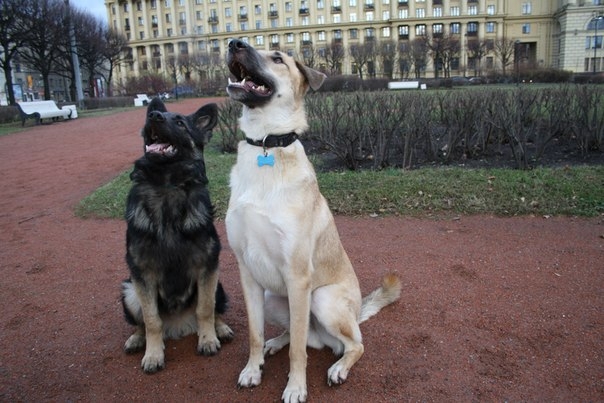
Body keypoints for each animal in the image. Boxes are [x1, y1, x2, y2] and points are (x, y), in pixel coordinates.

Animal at [121, 97, 232, 372]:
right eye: (150, 117)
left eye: (180, 123)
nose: (154, 116)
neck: (167, 184)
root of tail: (180, 326)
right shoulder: (141, 274)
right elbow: (151, 320)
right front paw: (153, 354)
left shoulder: (207, 266)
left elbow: (205, 309)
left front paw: (208, 340)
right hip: (129, 291)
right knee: (141, 322)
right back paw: (137, 339)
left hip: (217, 284)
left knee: (215, 310)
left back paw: (221, 328)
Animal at [224, 39, 398, 402]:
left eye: (277, 58)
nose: (234, 43)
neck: (266, 145)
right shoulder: (248, 273)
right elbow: (255, 334)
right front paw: (252, 369)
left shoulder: (298, 276)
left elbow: (298, 353)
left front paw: (295, 388)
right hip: (273, 298)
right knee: (297, 333)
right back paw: (275, 344)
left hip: (321, 299)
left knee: (352, 345)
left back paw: (339, 367)